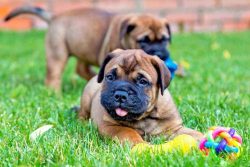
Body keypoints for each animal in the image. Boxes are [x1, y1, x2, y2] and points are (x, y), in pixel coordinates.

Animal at [4, 6, 175, 91]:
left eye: (165, 39)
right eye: (143, 41)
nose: (160, 54)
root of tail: (55, 16)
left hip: (83, 49)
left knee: (81, 69)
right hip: (57, 53)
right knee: (53, 76)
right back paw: (55, 93)